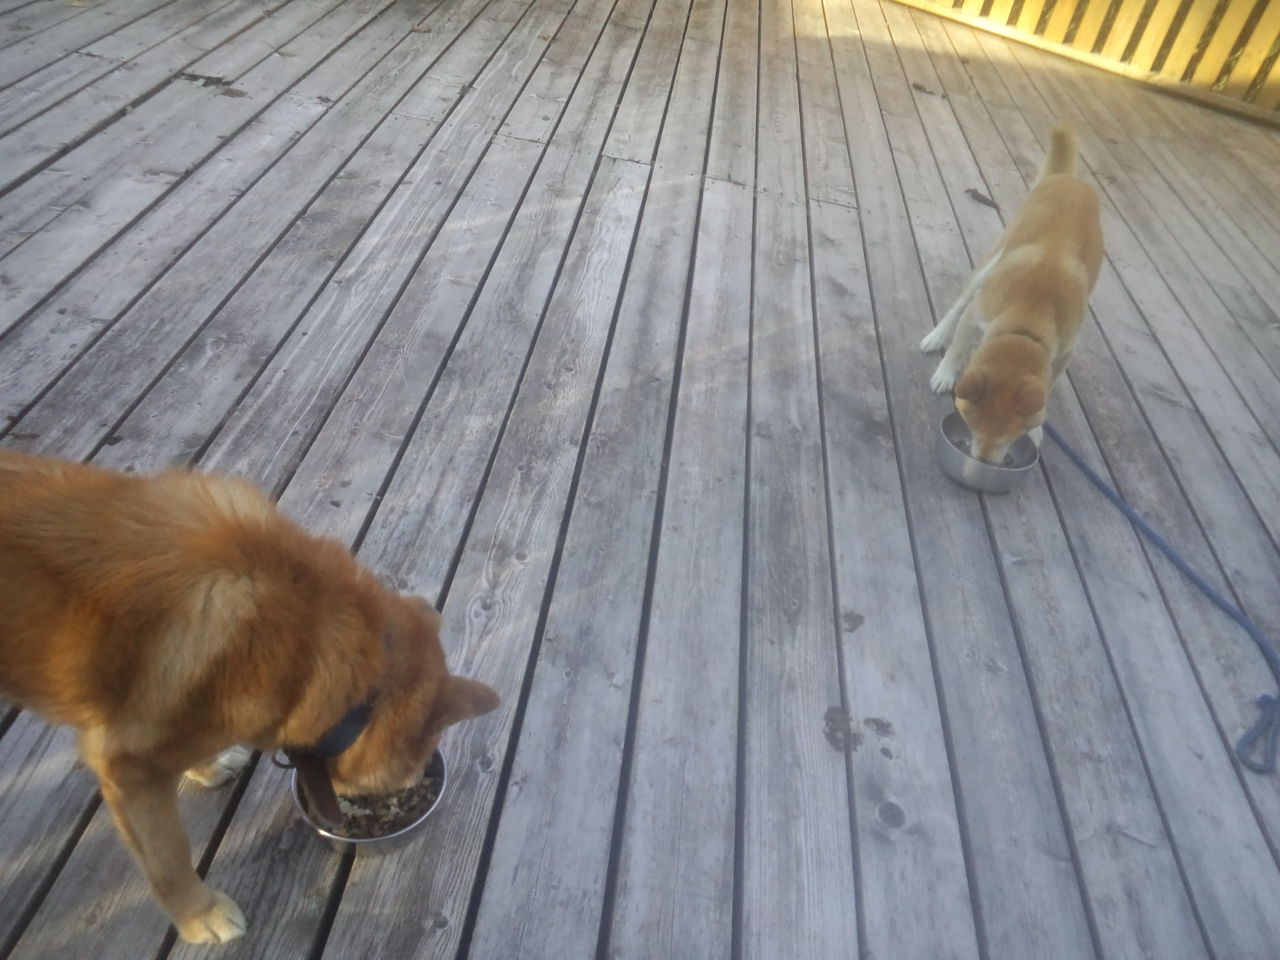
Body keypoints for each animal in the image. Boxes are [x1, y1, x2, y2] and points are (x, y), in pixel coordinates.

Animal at [0, 450, 499, 944]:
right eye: (413, 767)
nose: (415, 785)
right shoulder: (125, 767)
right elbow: (168, 858)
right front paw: (200, 914)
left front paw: (205, 766)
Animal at [920, 123, 1102, 463]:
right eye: (972, 427)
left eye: (1009, 438)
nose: (982, 463)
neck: (1029, 317)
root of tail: (1067, 178)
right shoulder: (977, 313)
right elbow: (958, 347)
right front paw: (946, 373)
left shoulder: (1064, 351)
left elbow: (1049, 386)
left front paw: (1038, 427)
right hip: (990, 263)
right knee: (958, 306)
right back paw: (936, 336)